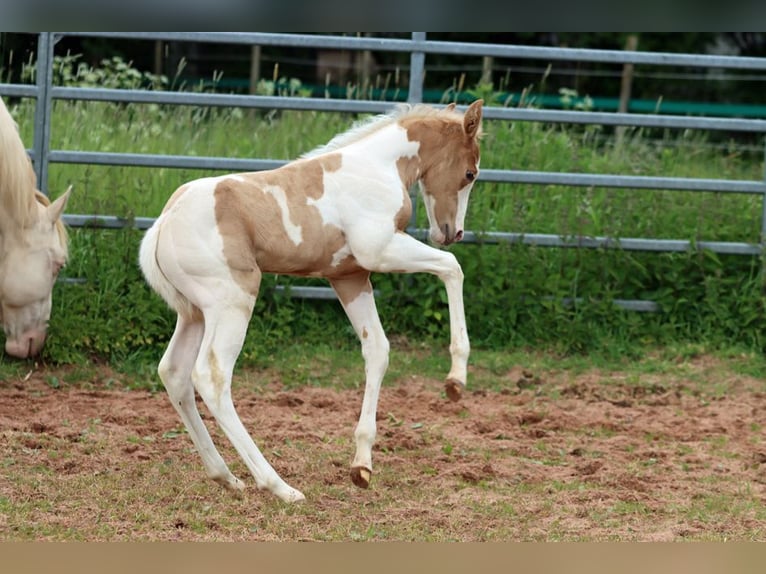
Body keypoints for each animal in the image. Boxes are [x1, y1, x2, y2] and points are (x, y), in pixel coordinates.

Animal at [139, 99, 484, 502]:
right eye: (470, 173)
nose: (452, 232)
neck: (378, 168)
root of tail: (163, 223)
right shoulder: (380, 251)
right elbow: (452, 268)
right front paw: (456, 379)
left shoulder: (350, 277)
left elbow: (378, 350)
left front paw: (362, 466)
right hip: (232, 303)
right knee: (211, 377)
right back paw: (279, 486)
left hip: (194, 313)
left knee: (174, 372)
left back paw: (227, 477)